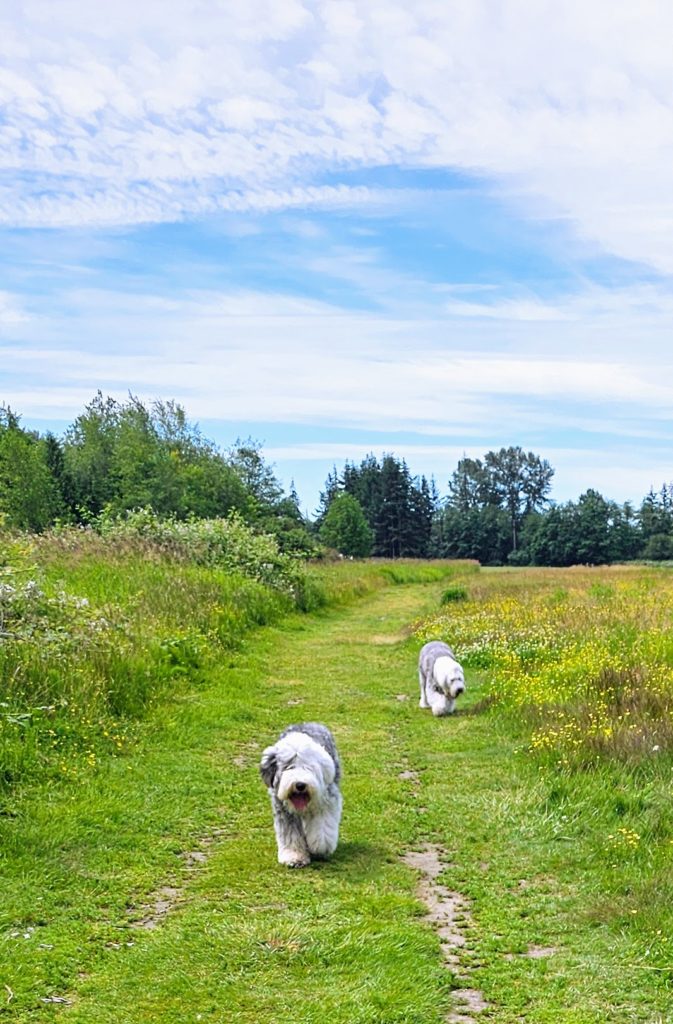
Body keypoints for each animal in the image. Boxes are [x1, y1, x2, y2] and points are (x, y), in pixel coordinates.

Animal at [257, 720, 342, 872]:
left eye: (308, 767)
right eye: (288, 767)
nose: (300, 785)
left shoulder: (327, 802)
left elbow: (323, 829)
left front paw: (320, 847)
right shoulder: (284, 811)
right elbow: (290, 835)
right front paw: (294, 857)